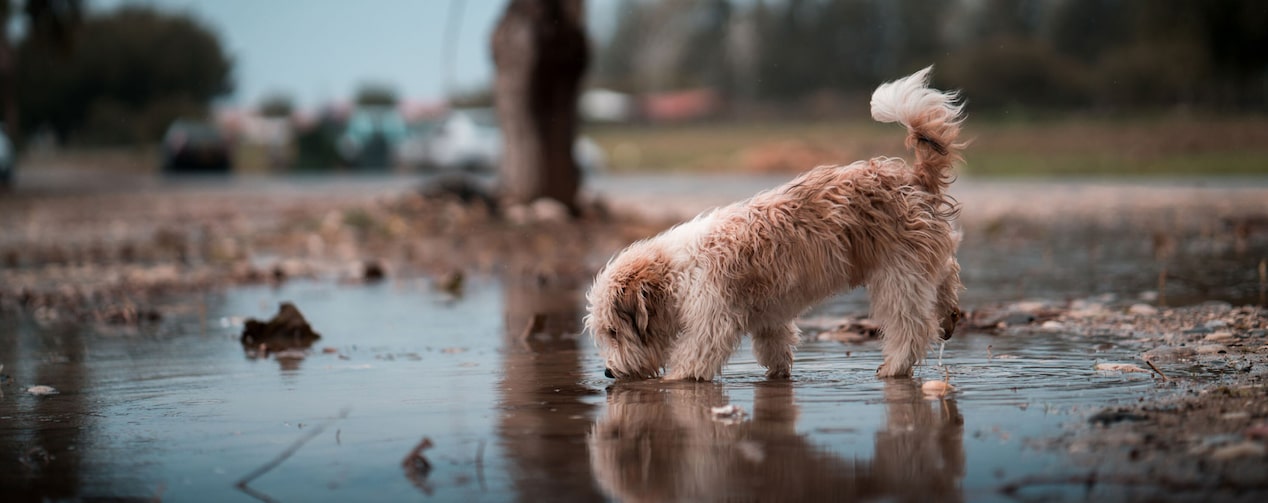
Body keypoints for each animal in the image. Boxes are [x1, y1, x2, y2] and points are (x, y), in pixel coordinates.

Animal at [588, 67, 963, 380]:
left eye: (613, 331)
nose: (607, 372)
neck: (676, 274)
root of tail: (913, 178)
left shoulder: (713, 319)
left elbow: (694, 356)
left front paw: (675, 382)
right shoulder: (769, 317)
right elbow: (775, 346)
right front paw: (778, 375)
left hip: (898, 274)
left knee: (911, 326)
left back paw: (895, 366)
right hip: (917, 264)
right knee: (947, 271)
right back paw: (949, 316)